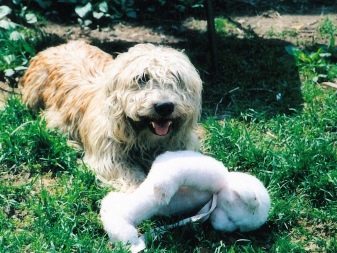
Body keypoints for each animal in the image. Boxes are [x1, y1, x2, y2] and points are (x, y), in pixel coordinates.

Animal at [19, 40, 201, 190]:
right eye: (142, 78)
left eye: (177, 77)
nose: (164, 107)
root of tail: (54, 47)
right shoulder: (108, 159)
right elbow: (130, 177)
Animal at [100, 150, 270, 251]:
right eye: (230, 216)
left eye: (235, 226)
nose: (217, 224)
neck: (215, 194)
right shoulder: (210, 172)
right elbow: (176, 168)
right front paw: (161, 190)